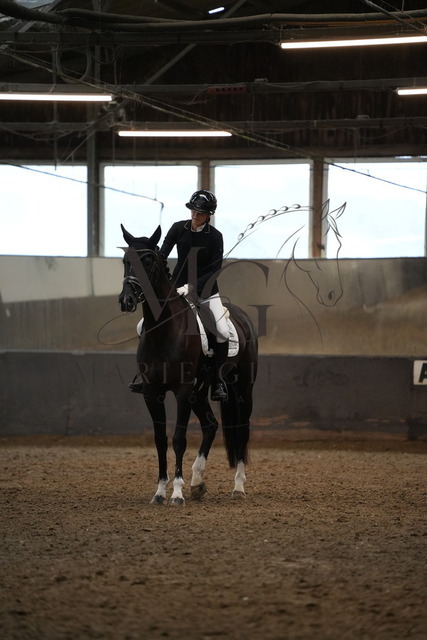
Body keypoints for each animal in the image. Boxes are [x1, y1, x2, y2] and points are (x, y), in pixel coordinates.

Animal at [118, 224, 258, 505]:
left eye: (148, 261)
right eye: (126, 261)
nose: (126, 300)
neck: (164, 331)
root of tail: (242, 317)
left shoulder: (182, 391)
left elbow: (179, 439)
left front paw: (177, 493)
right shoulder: (152, 393)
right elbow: (160, 440)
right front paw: (160, 491)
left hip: (242, 389)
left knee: (242, 429)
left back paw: (238, 487)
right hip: (199, 392)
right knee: (211, 425)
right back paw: (197, 482)